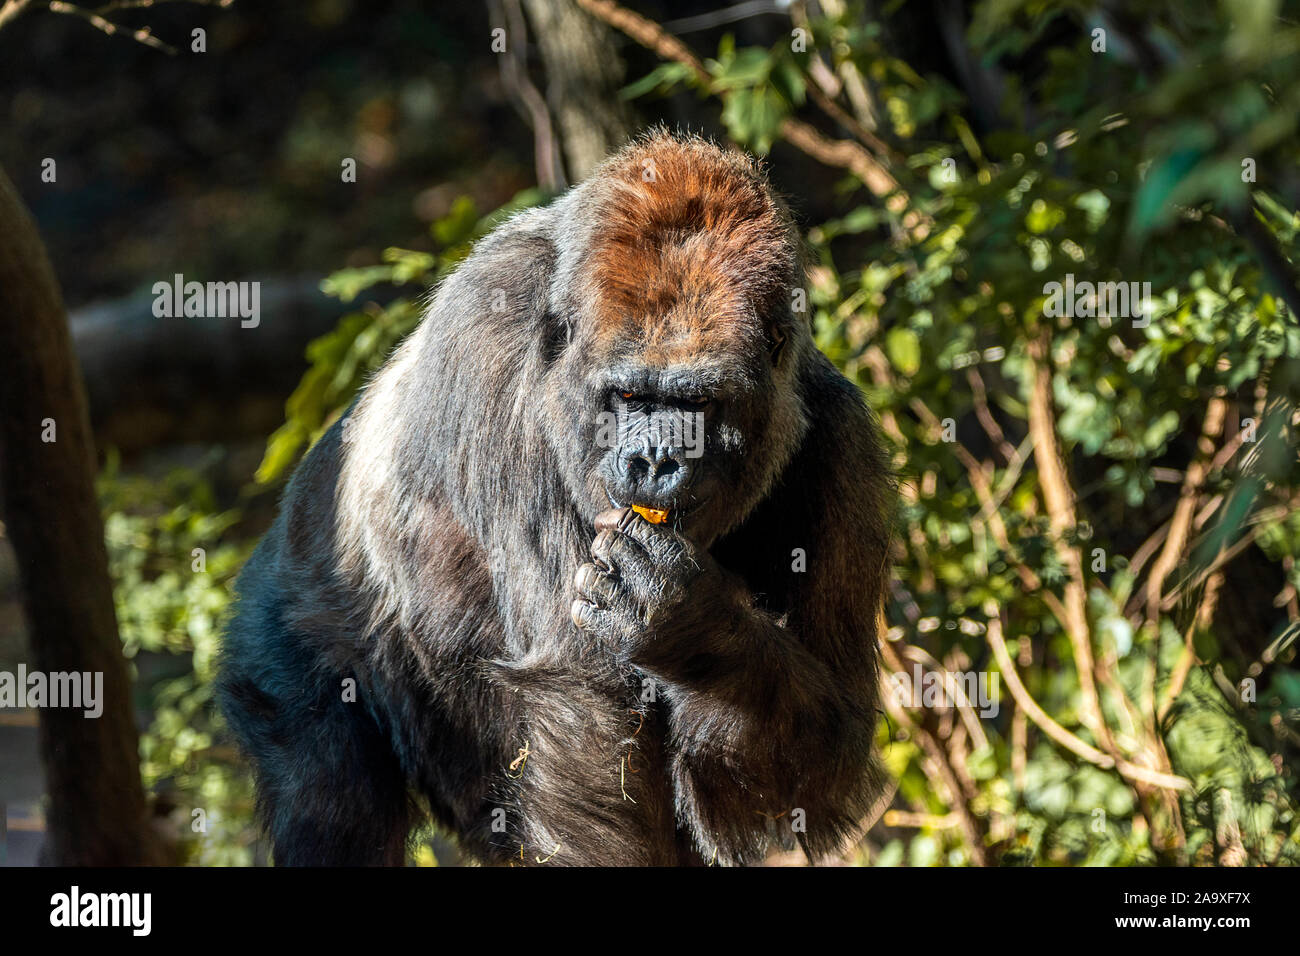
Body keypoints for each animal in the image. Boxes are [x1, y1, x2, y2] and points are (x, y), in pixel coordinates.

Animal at [220, 128, 894, 868]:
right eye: (629, 395)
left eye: (697, 404)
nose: (654, 461)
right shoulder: (489, 335)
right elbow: (582, 710)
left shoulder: (842, 445)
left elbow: (817, 759)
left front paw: (692, 625)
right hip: (276, 641)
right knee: (331, 796)